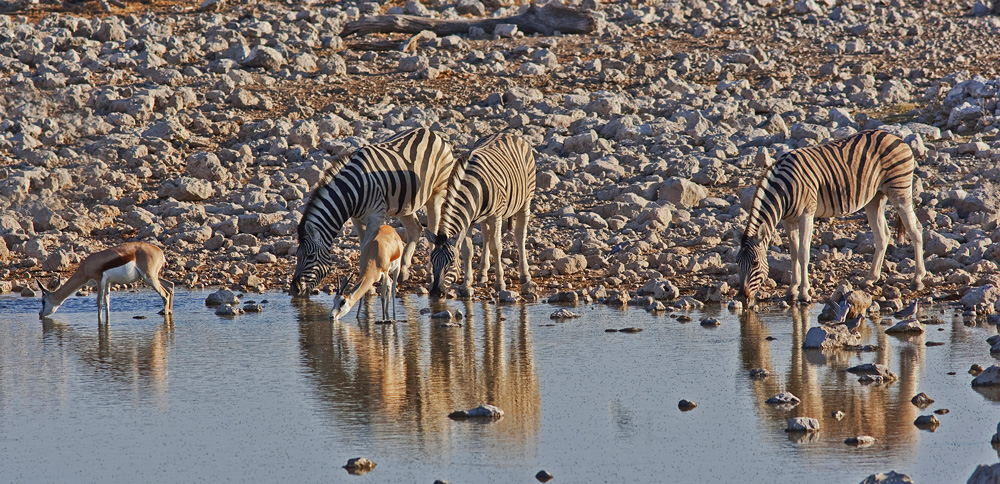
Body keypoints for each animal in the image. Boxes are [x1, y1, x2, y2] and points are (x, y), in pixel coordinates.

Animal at [39, 242, 175, 326]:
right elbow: (107, 302)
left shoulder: (99, 280)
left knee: (165, 294)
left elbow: (99, 302)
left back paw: (166, 316)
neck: (86, 266)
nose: (40, 314)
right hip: (153, 277)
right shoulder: (108, 283)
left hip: (149, 278)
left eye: (43, 301)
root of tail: (160, 251)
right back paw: (167, 311)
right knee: (170, 285)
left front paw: (100, 324)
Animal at [290, 126, 458, 296]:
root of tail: (430, 132)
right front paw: (368, 287)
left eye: (310, 256)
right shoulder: (356, 219)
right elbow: (362, 246)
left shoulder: (376, 216)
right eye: (297, 255)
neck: (352, 192)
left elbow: (367, 247)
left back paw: (430, 272)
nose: (294, 289)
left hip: (437, 192)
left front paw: (367, 286)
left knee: (432, 228)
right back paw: (404, 270)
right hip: (405, 203)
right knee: (415, 229)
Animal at [430, 133, 540, 298]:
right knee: (486, 235)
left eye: (451, 263)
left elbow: (496, 247)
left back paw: (524, 274)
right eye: (431, 261)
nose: (435, 293)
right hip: (483, 217)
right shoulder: (468, 220)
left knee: (520, 235)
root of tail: (508, 133)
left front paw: (500, 283)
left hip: (525, 200)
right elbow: (468, 250)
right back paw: (482, 274)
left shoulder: (495, 215)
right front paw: (466, 284)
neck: (472, 188)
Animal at [736, 129, 928, 308]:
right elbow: (793, 254)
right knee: (883, 235)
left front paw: (804, 293)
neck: (783, 190)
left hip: (899, 190)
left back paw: (917, 279)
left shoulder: (807, 213)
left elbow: (803, 253)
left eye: (755, 263)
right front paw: (791, 290)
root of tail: (893, 136)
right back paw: (870, 278)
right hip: (875, 197)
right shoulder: (788, 220)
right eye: (737, 262)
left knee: (915, 230)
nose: (743, 297)